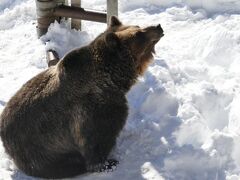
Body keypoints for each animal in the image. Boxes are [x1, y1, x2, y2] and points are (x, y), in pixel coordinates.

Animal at [0, 16, 164, 179]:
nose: (158, 26)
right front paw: (107, 163)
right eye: (138, 34)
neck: (111, 79)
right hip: (37, 150)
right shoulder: (93, 110)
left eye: (138, 26)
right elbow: (96, 139)